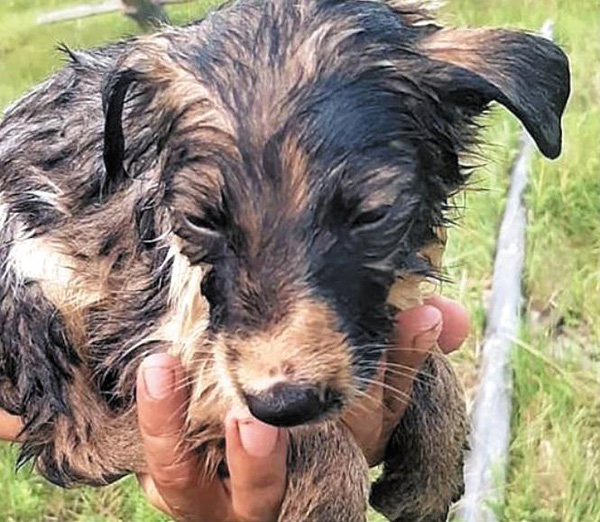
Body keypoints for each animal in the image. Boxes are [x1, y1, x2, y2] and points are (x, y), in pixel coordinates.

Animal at [0, 0, 569, 520]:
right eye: (201, 220)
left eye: (372, 215)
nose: (283, 402)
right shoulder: (146, 316)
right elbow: (227, 395)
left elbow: (419, 358)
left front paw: (433, 463)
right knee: (72, 441)